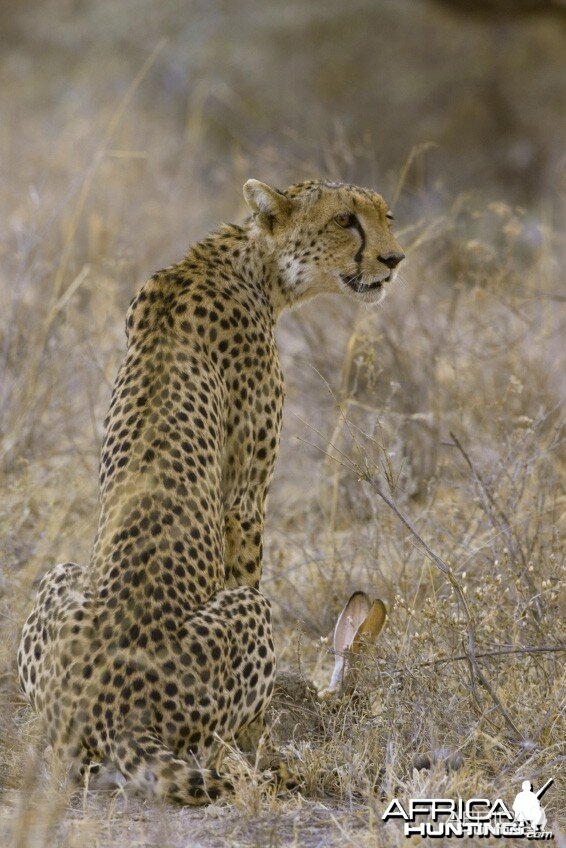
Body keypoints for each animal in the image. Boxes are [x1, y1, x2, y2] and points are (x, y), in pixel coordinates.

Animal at [17, 177, 406, 800]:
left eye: (384, 216)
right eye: (345, 220)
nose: (393, 260)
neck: (254, 263)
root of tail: (109, 708)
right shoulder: (245, 498)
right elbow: (246, 559)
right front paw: (264, 745)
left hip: (61, 577)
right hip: (249, 615)